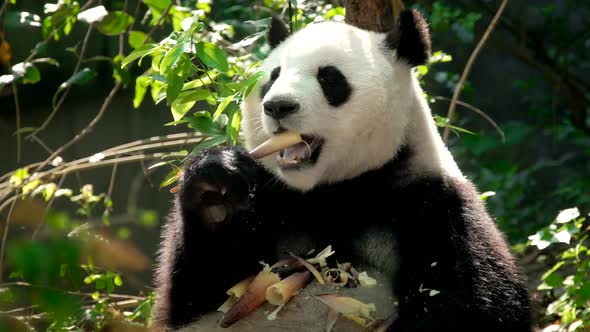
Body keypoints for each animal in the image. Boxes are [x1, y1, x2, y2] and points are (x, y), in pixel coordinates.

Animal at [154, 8, 536, 332]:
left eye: (329, 78)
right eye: (273, 77)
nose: (278, 106)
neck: (337, 189)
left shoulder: (430, 207)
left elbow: (472, 303)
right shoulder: (275, 202)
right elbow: (197, 298)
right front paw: (217, 186)